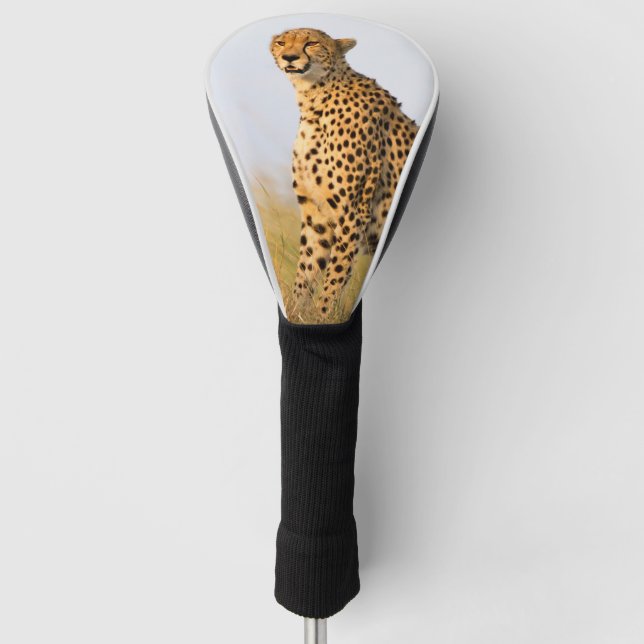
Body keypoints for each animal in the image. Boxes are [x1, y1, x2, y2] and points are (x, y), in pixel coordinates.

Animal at [270, 28, 418, 320]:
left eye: (311, 43)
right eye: (281, 42)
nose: (289, 57)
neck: (313, 99)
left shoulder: (352, 212)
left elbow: (334, 277)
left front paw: (323, 314)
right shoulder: (316, 215)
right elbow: (306, 271)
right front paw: (298, 313)